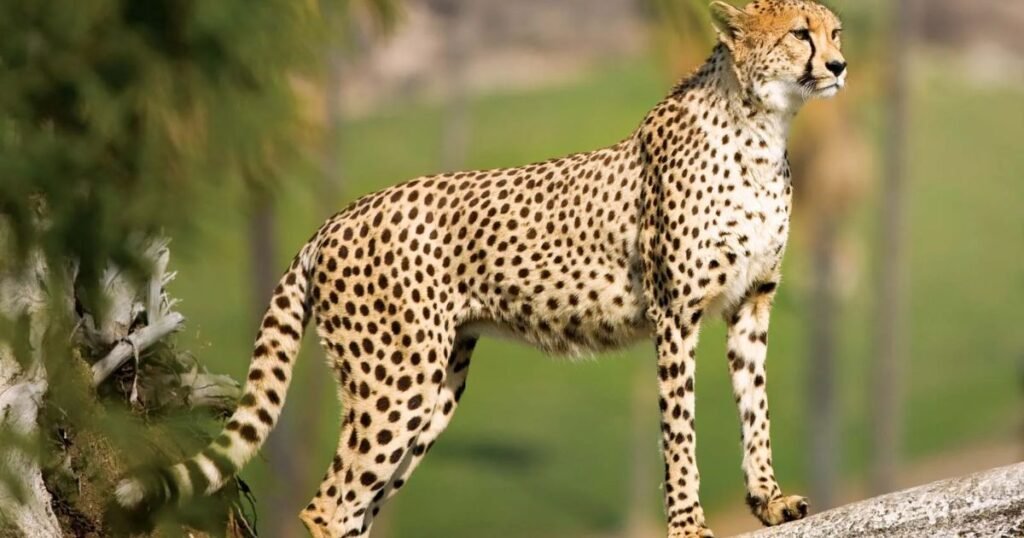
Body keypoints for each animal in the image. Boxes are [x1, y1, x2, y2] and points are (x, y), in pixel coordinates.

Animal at [115, 1, 847, 536]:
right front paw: (691, 525)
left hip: (434, 388)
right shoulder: (675, 315)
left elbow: (756, 408)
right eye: (799, 33)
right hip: (395, 382)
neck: (761, 126)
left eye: (834, 29)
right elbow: (680, 431)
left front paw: (770, 501)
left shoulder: (751, 303)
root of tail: (335, 219)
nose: (840, 64)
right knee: (328, 505)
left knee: (356, 505)